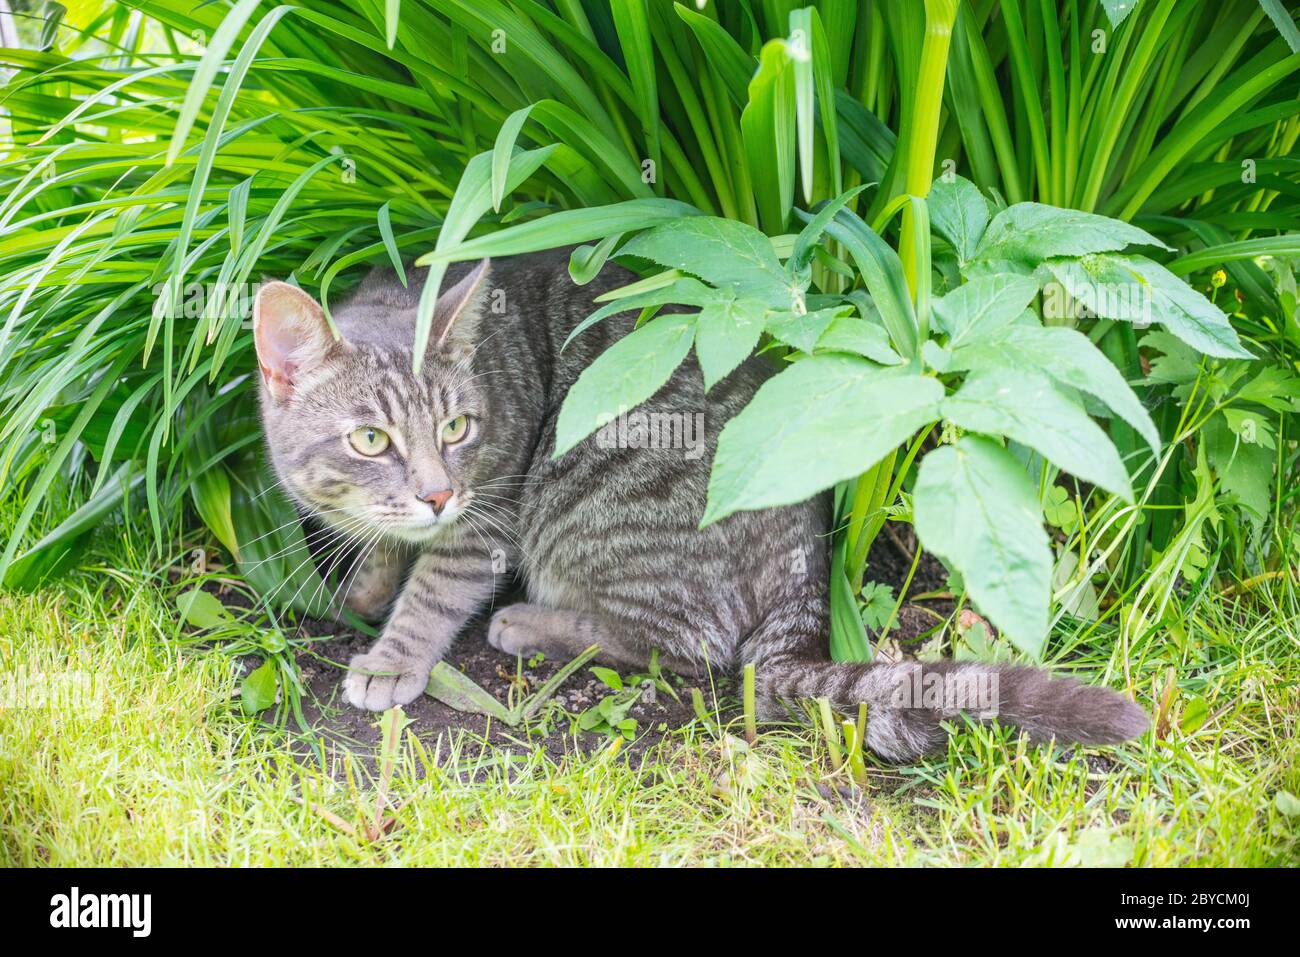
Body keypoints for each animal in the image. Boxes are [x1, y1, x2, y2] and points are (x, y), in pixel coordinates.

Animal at [248, 250, 1144, 759]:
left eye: (458, 427)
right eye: (371, 440)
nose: (437, 489)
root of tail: (806, 553)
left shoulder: (490, 507)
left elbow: (436, 589)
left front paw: (391, 657)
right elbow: (384, 542)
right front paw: (367, 580)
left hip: (588, 495)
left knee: (687, 645)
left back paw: (530, 622)